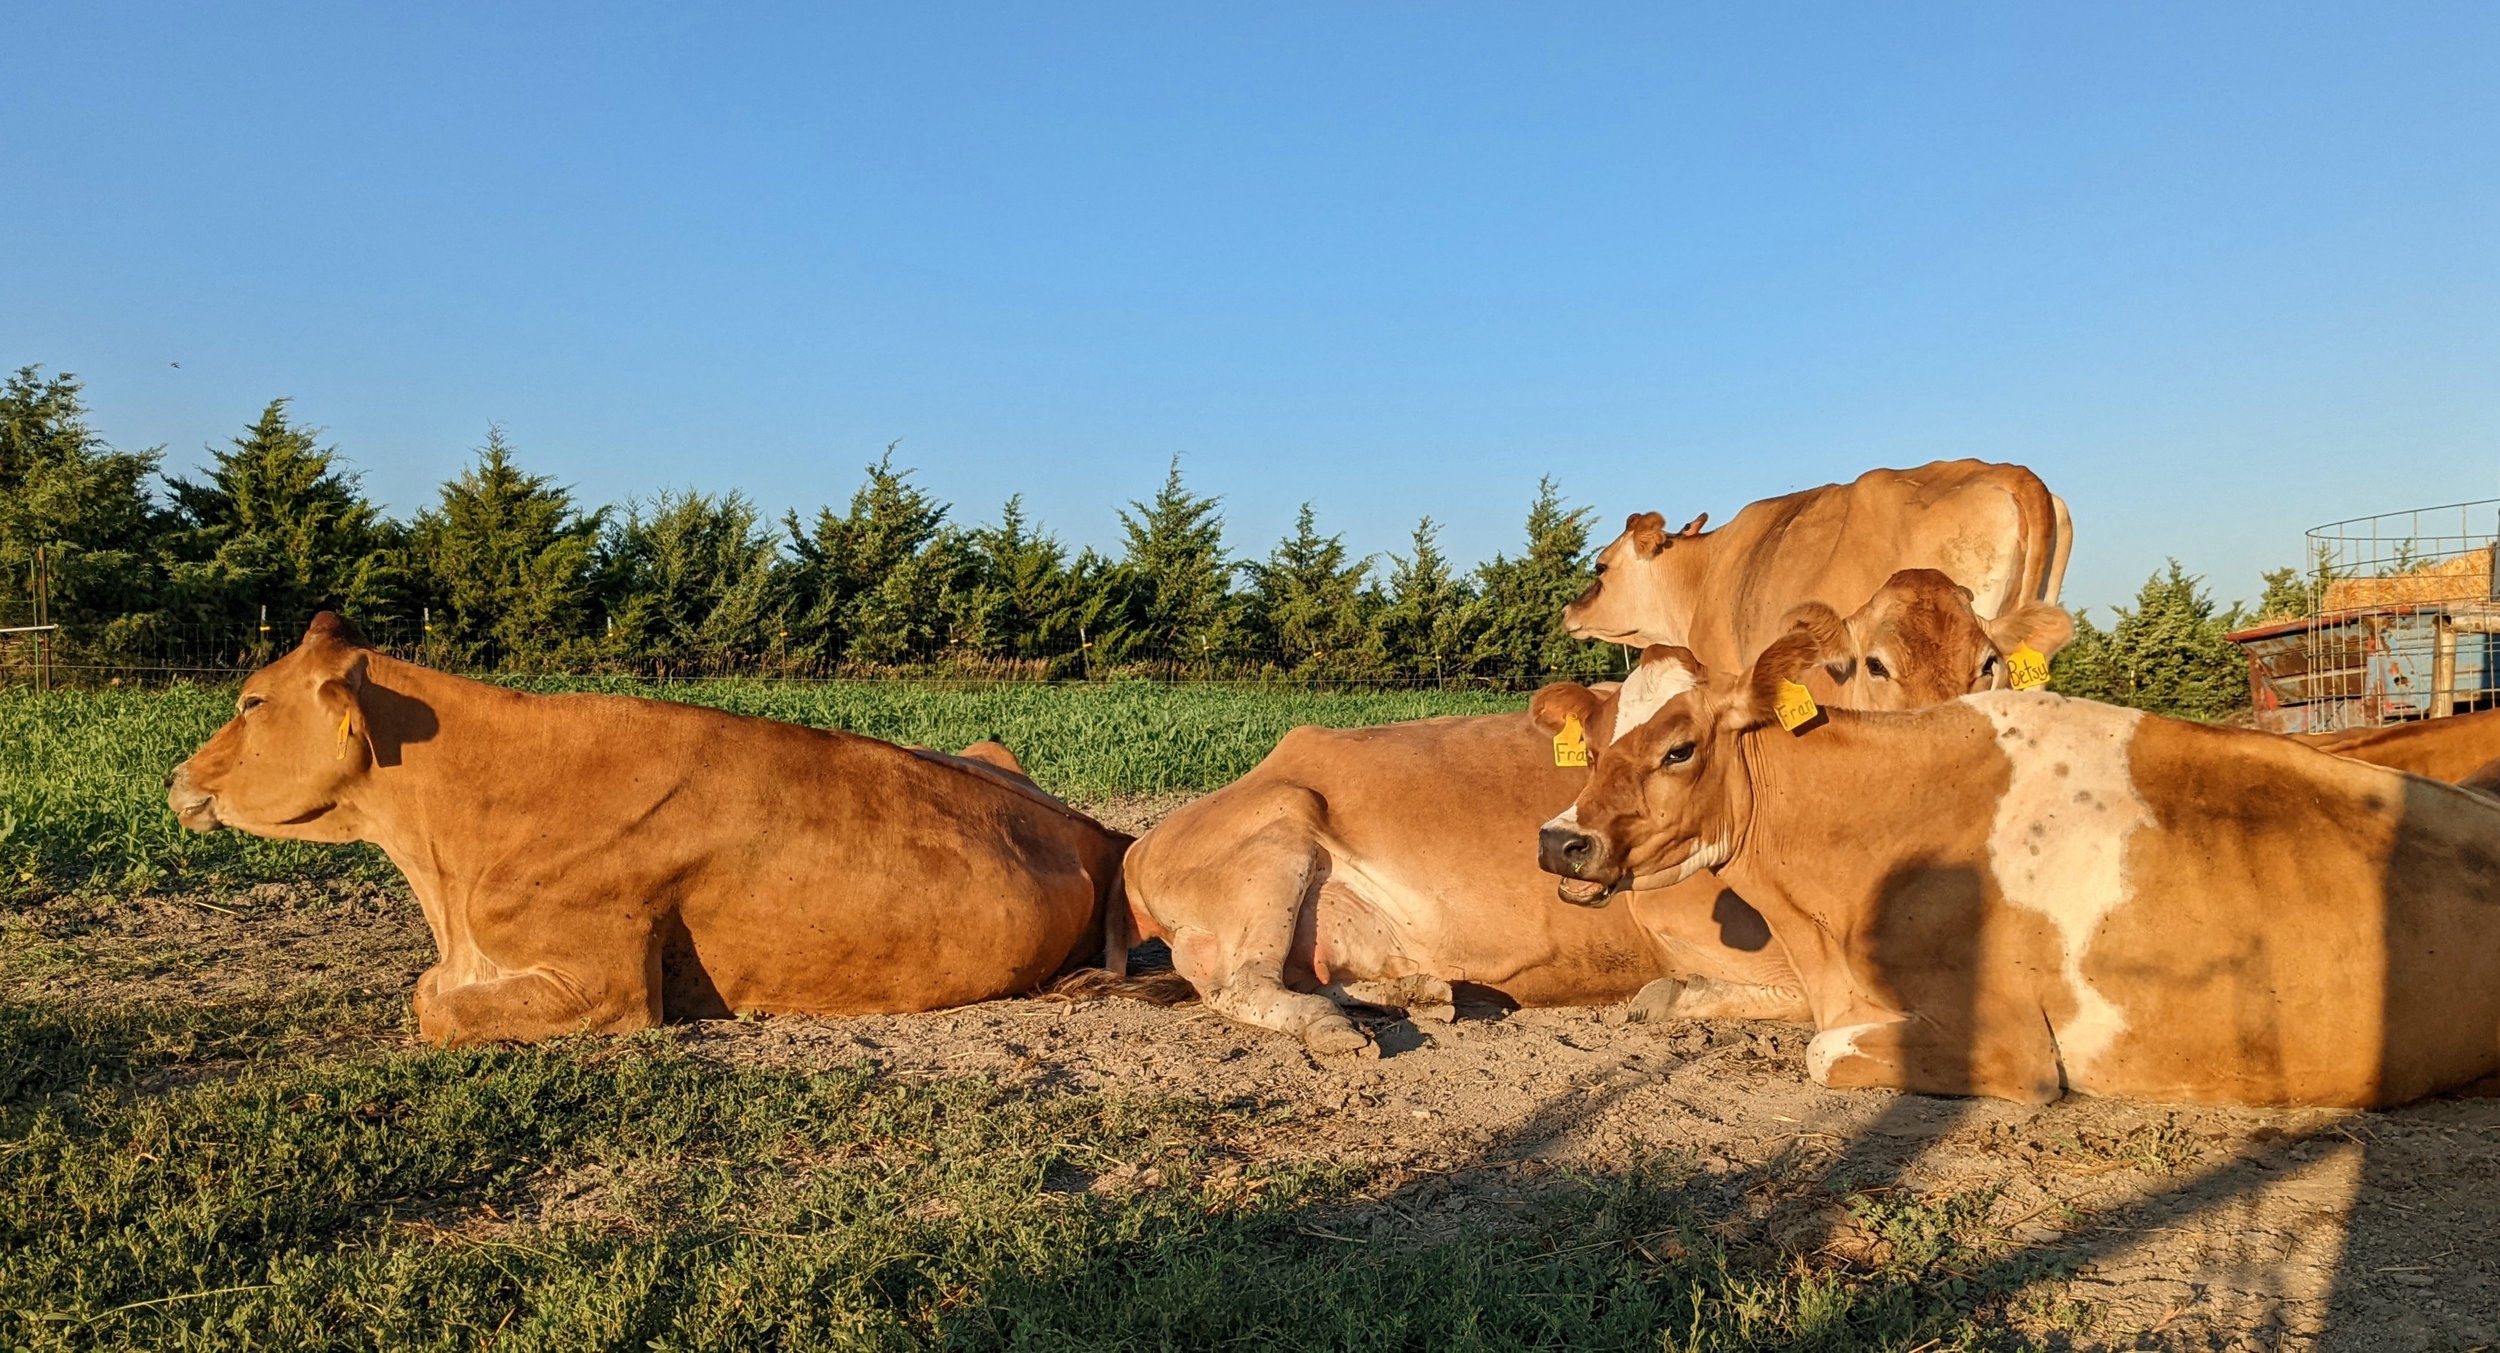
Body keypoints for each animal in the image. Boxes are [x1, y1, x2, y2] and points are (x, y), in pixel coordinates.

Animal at [1121, 570, 2073, 1055]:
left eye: (1990, 664)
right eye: (1870, 663)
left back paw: (1426, 989)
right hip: (1276, 834)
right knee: (1241, 981)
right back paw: (1334, 1028)